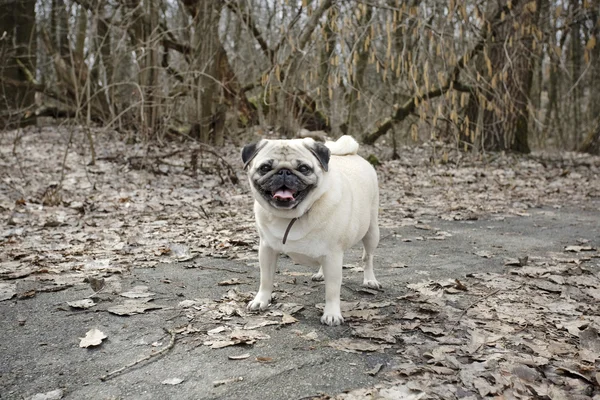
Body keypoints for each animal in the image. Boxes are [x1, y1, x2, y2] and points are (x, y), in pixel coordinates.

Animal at [240, 135, 378, 324]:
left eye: (303, 168)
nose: (284, 172)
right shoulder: (266, 249)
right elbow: (266, 279)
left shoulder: (333, 255)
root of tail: (353, 153)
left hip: (372, 232)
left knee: (368, 258)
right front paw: (261, 300)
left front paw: (332, 314)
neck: (291, 216)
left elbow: (332, 290)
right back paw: (320, 274)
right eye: (265, 168)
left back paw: (370, 280)